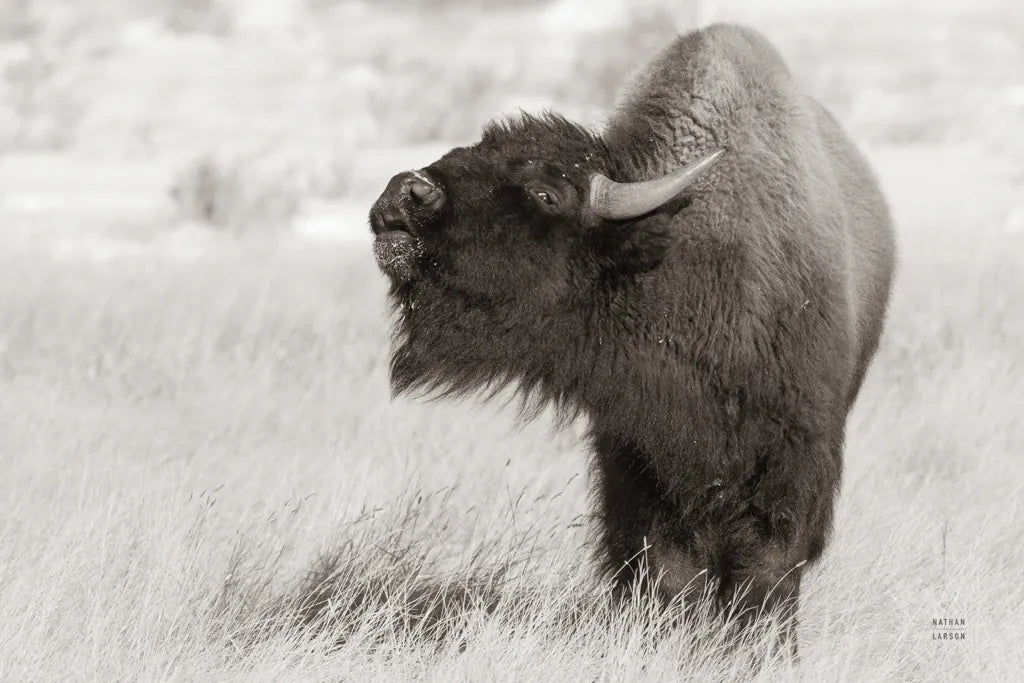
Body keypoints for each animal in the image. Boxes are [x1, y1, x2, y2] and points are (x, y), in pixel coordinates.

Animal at [369, 23, 895, 648]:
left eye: (546, 193)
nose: (406, 193)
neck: (668, 258)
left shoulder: (792, 463)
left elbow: (766, 570)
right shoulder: (632, 459)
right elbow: (666, 569)